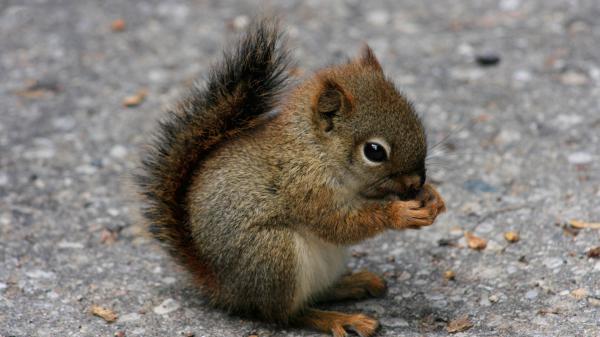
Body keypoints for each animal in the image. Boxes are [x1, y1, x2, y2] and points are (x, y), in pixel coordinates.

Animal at [136, 19, 446, 336]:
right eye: (374, 151)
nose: (416, 182)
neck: (315, 150)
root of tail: (224, 287)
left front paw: (432, 197)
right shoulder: (305, 188)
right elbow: (339, 224)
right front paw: (400, 213)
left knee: (316, 294)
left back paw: (353, 283)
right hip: (274, 255)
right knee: (286, 314)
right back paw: (337, 319)